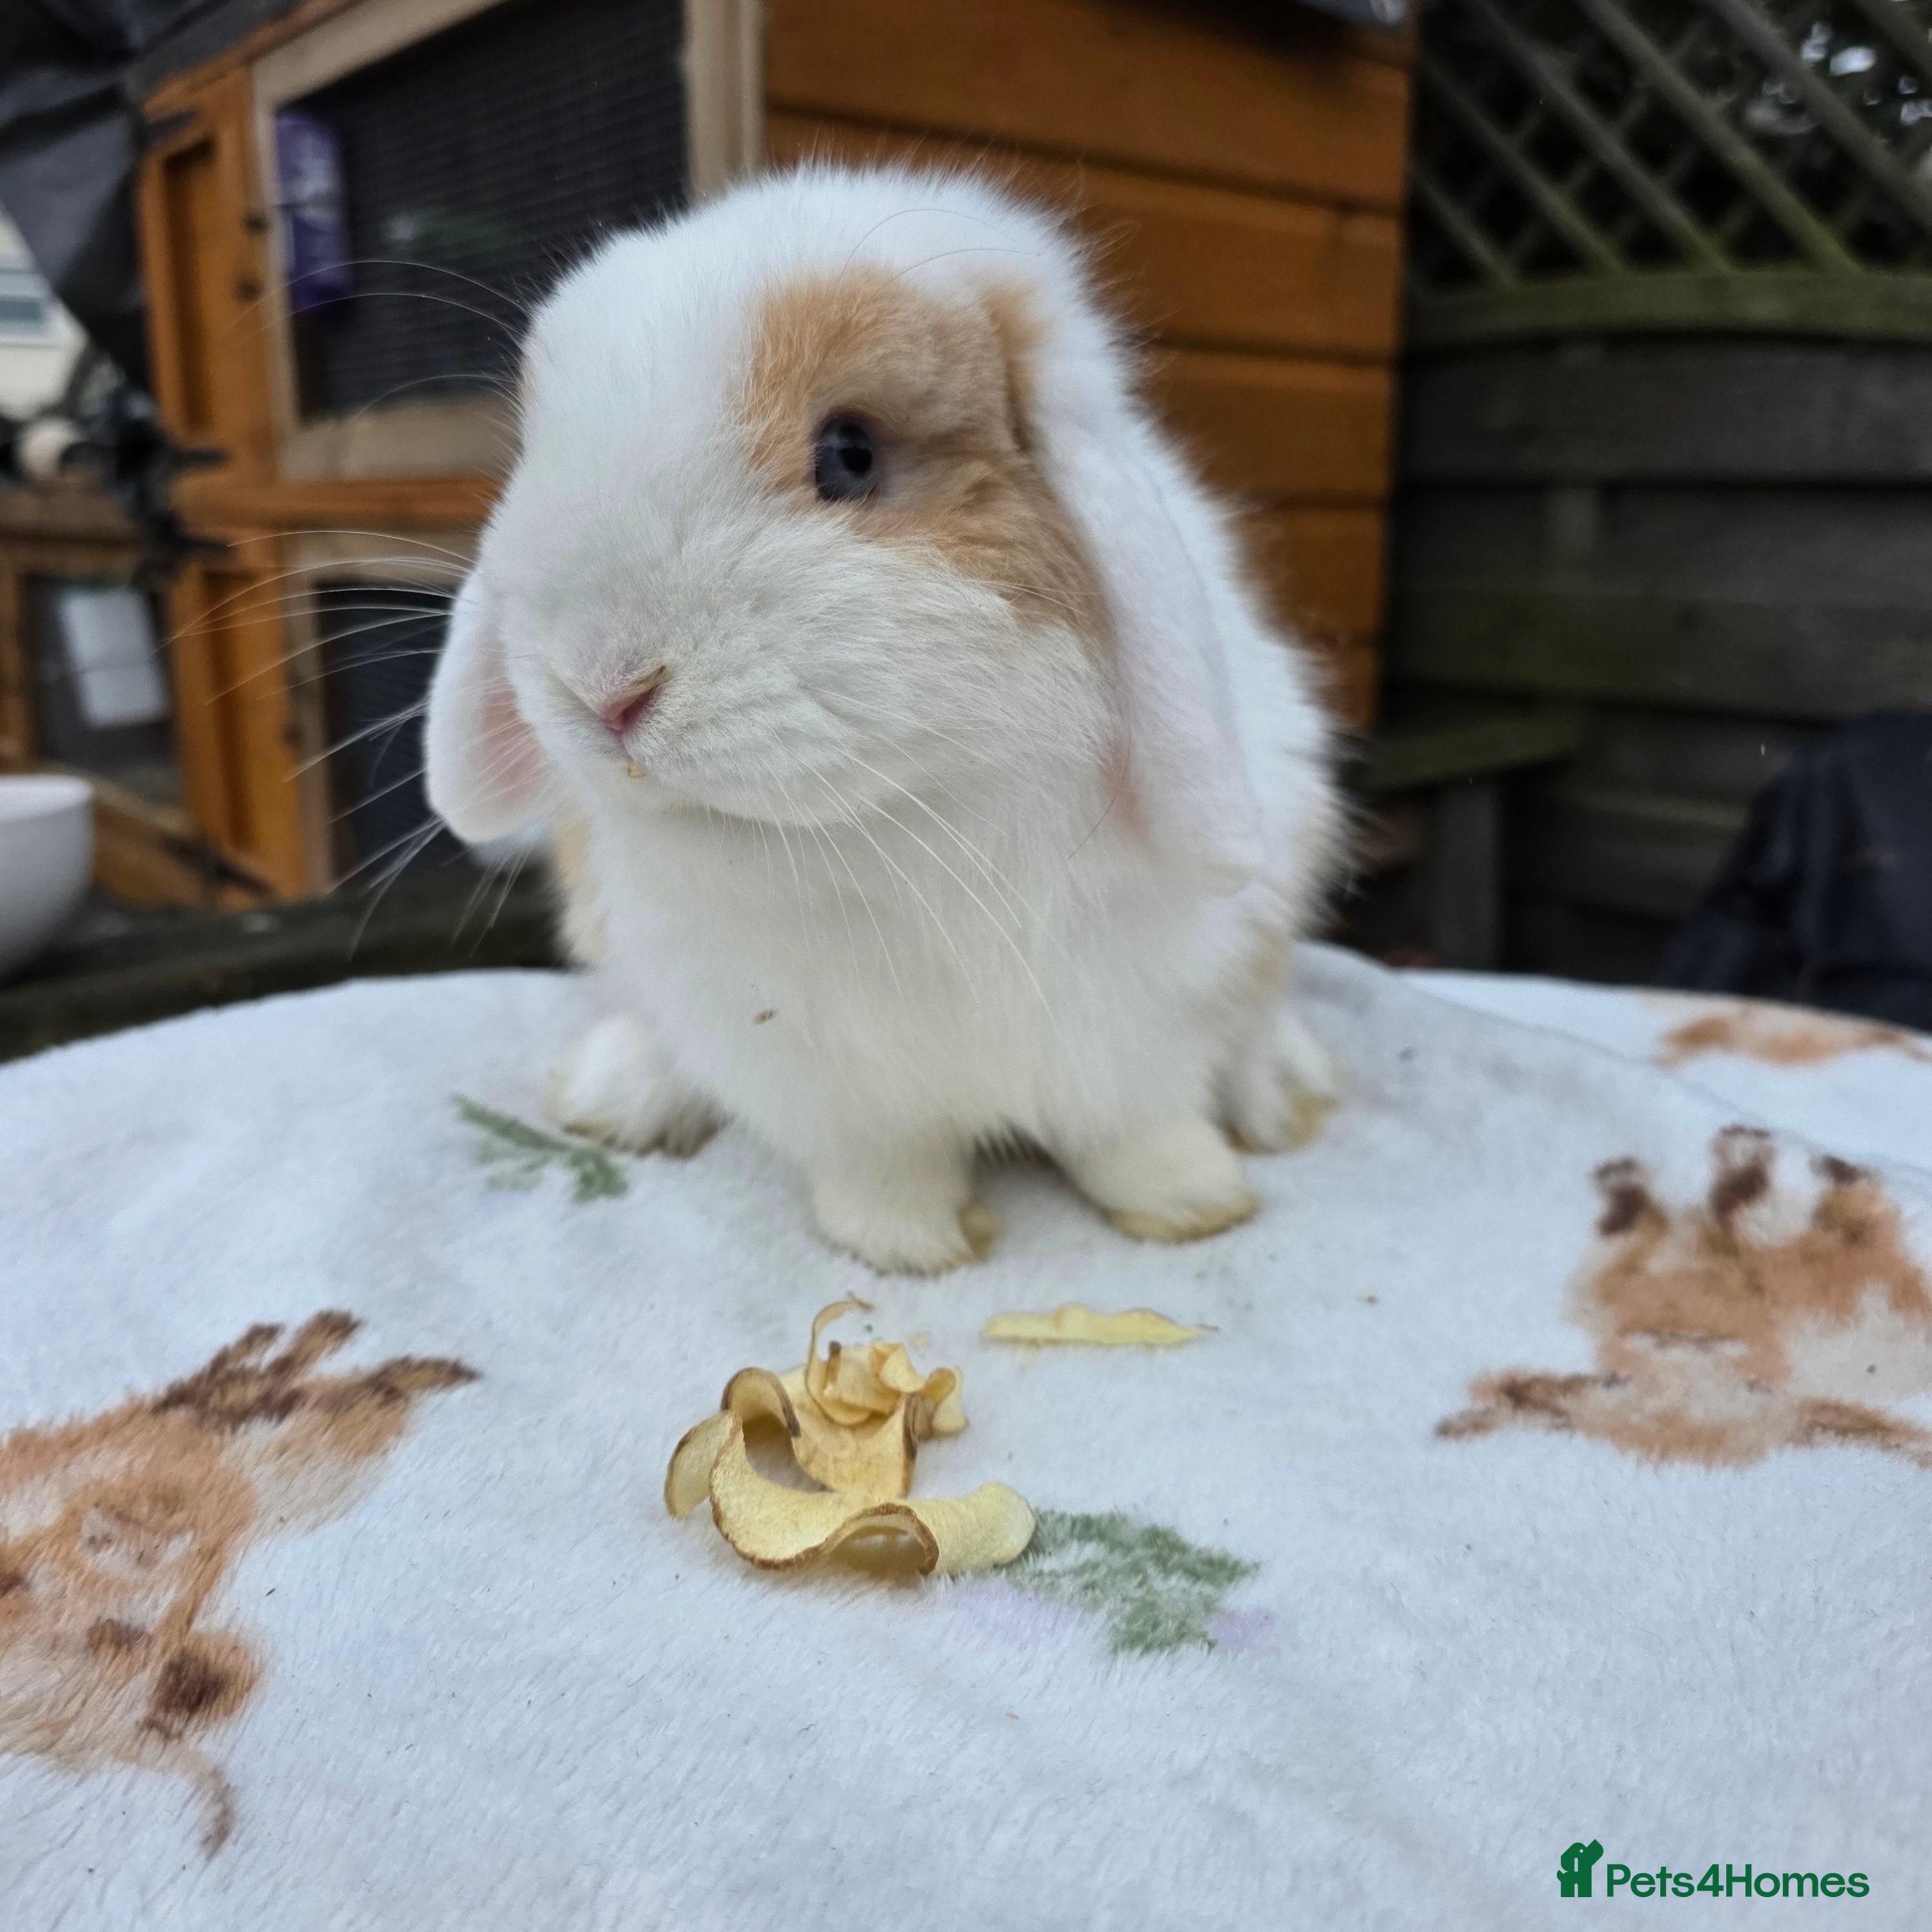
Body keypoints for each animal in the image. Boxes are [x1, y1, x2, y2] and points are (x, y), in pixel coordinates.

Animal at [426, 163, 1345, 1274]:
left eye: (851, 454)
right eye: (535, 454)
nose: (602, 686)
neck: (903, 833)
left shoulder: (1149, 1019)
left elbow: (1136, 1127)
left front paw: (1194, 1203)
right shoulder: (817, 1079)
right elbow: (883, 1164)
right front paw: (908, 1247)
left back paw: (1285, 1095)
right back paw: (612, 1094)